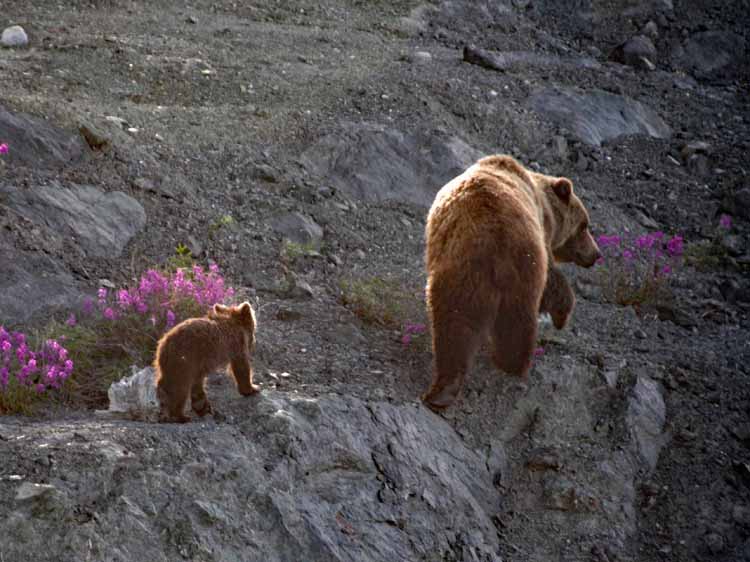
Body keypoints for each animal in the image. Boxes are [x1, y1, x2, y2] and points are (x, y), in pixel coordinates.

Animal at [422, 154, 600, 411]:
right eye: (584, 225)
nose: (596, 254)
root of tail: (495, 246)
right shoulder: (542, 232)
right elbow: (553, 281)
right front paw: (561, 315)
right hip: (522, 270)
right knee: (516, 324)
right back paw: (516, 363)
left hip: (463, 278)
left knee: (454, 326)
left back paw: (443, 391)